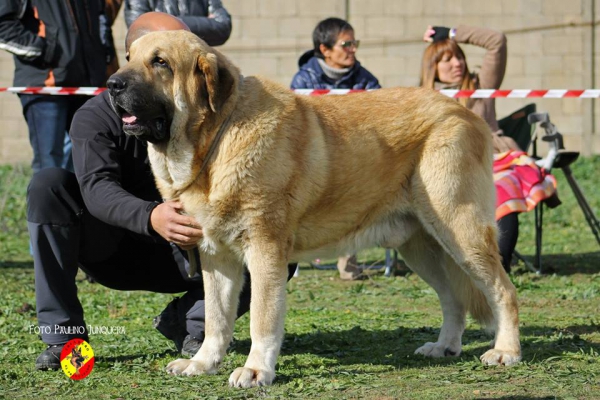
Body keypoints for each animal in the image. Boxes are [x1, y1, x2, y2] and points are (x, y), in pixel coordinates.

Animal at [108, 29, 520, 386]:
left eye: (160, 62)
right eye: (128, 58)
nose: (112, 84)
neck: (216, 142)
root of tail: (466, 114)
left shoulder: (265, 251)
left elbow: (261, 318)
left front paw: (256, 370)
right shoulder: (216, 257)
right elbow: (216, 318)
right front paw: (203, 362)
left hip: (461, 231)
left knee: (503, 290)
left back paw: (506, 351)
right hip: (420, 247)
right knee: (453, 299)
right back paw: (445, 346)